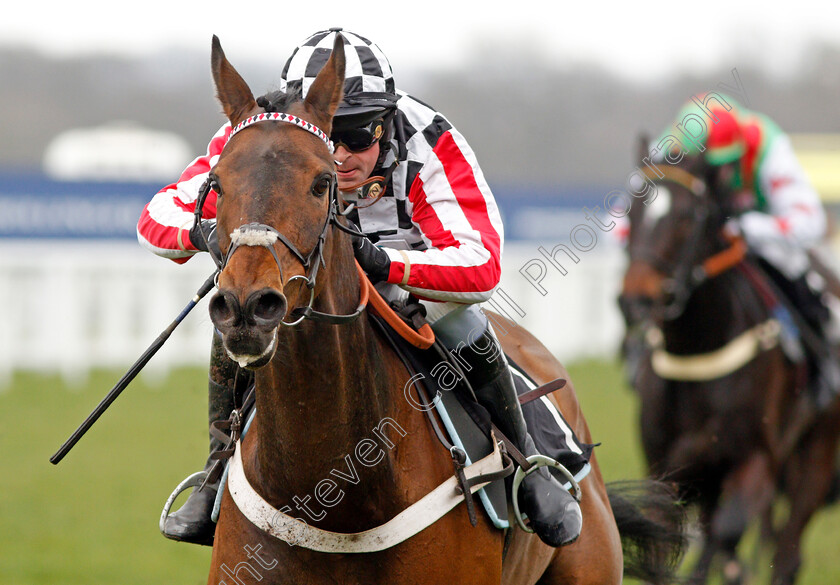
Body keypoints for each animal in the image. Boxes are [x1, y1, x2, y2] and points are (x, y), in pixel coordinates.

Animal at [616, 144, 840, 584]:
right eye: (632, 214)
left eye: (687, 216)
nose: (635, 302)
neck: (697, 354)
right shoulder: (667, 467)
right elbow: (663, 541)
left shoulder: (755, 460)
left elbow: (727, 532)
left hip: (815, 457)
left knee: (786, 551)